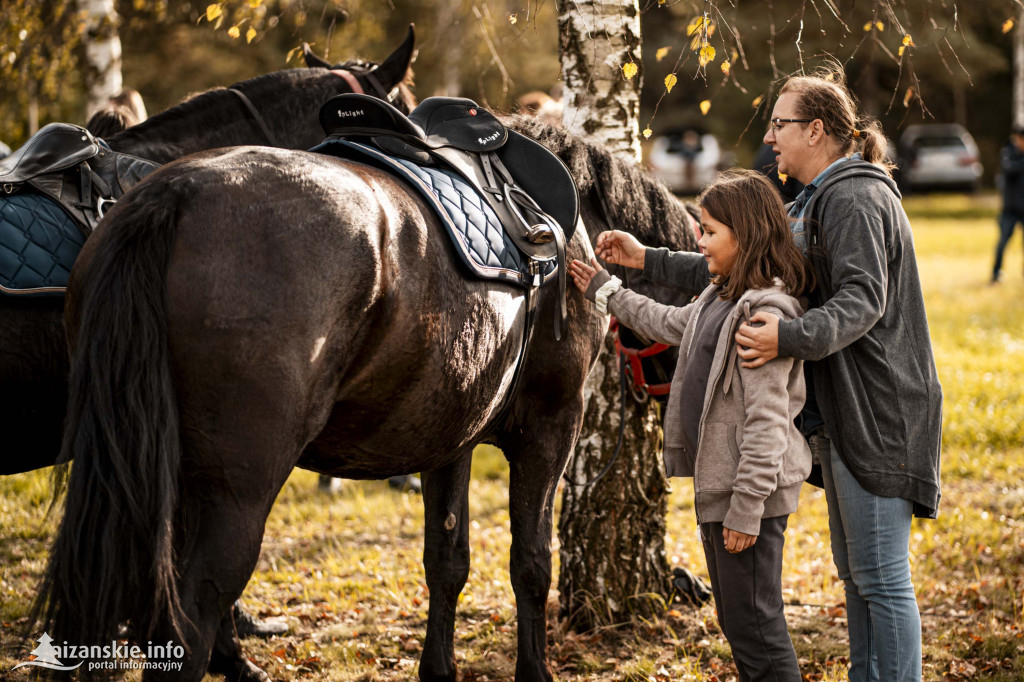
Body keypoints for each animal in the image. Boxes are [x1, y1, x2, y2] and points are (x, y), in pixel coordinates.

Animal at [37, 115, 696, 675]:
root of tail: (171, 195)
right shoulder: (550, 426)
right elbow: (532, 563)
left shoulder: (450, 438)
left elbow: (447, 561)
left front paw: (438, 669)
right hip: (235, 492)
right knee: (191, 615)